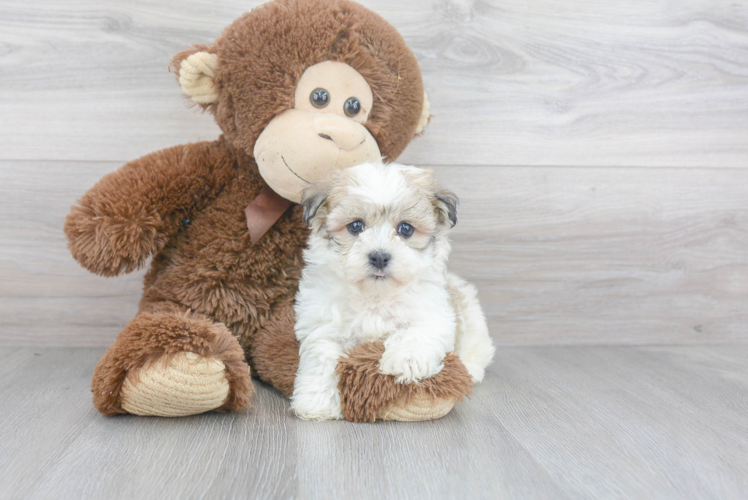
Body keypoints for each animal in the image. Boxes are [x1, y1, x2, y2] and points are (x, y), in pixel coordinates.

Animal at [292, 162, 496, 420]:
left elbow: (415, 334)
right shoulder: (323, 324)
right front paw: (316, 402)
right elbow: (322, 357)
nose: (379, 256)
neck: (376, 295)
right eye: (356, 226)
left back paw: (471, 369)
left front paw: (405, 361)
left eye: (406, 229)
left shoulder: (433, 315)